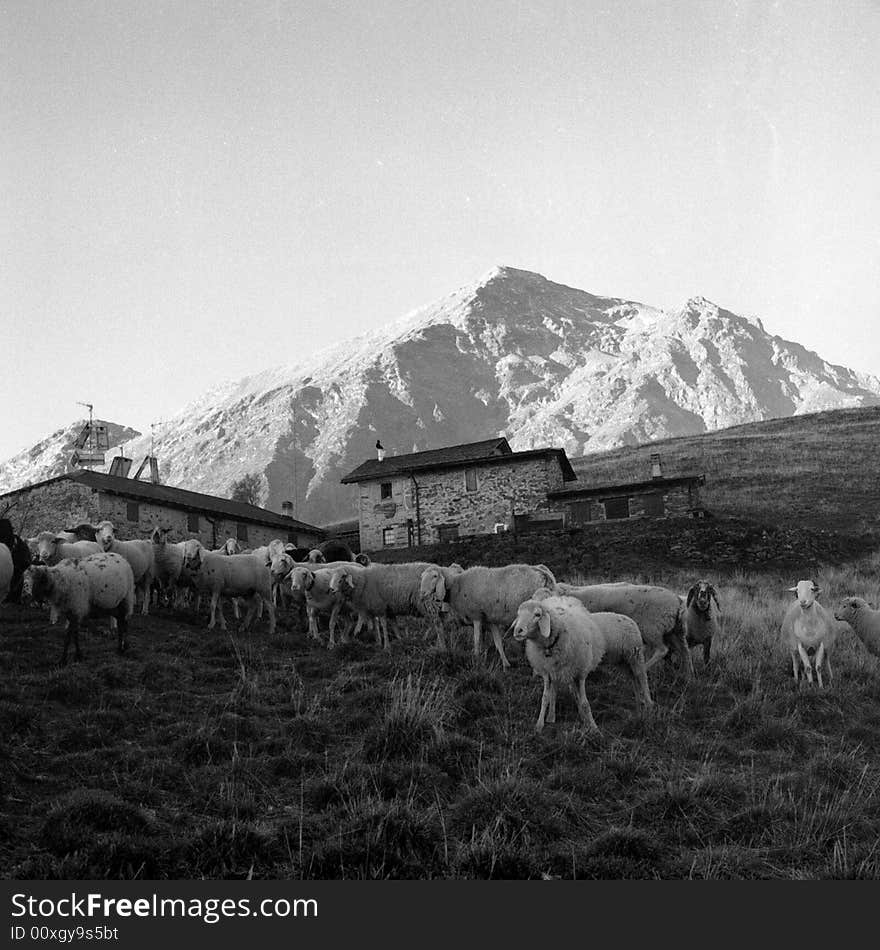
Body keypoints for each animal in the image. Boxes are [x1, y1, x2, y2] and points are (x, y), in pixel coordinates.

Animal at [422, 564, 556, 668]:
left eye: (434, 576)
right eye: (422, 577)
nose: (422, 593)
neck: (457, 585)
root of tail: (544, 574)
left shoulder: (476, 616)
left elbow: (476, 640)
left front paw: (476, 660)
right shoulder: (490, 620)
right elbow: (497, 642)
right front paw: (505, 663)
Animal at [512, 596, 648, 736]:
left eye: (537, 614)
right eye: (518, 614)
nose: (518, 630)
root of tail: (630, 620)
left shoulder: (581, 673)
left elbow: (584, 703)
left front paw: (594, 728)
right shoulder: (548, 672)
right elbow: (545, 698)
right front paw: (539, 725)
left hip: (635, 657)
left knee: (642, 679)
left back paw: (648, 707)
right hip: (624, 662)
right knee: (634, 680)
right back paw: (640, 707)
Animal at [552, 576, 692, 680]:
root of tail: (677, 601)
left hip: (651, 628)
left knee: (662, 650)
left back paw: (644, 669)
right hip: (676, 630)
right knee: (684, 651)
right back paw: (689, 675)